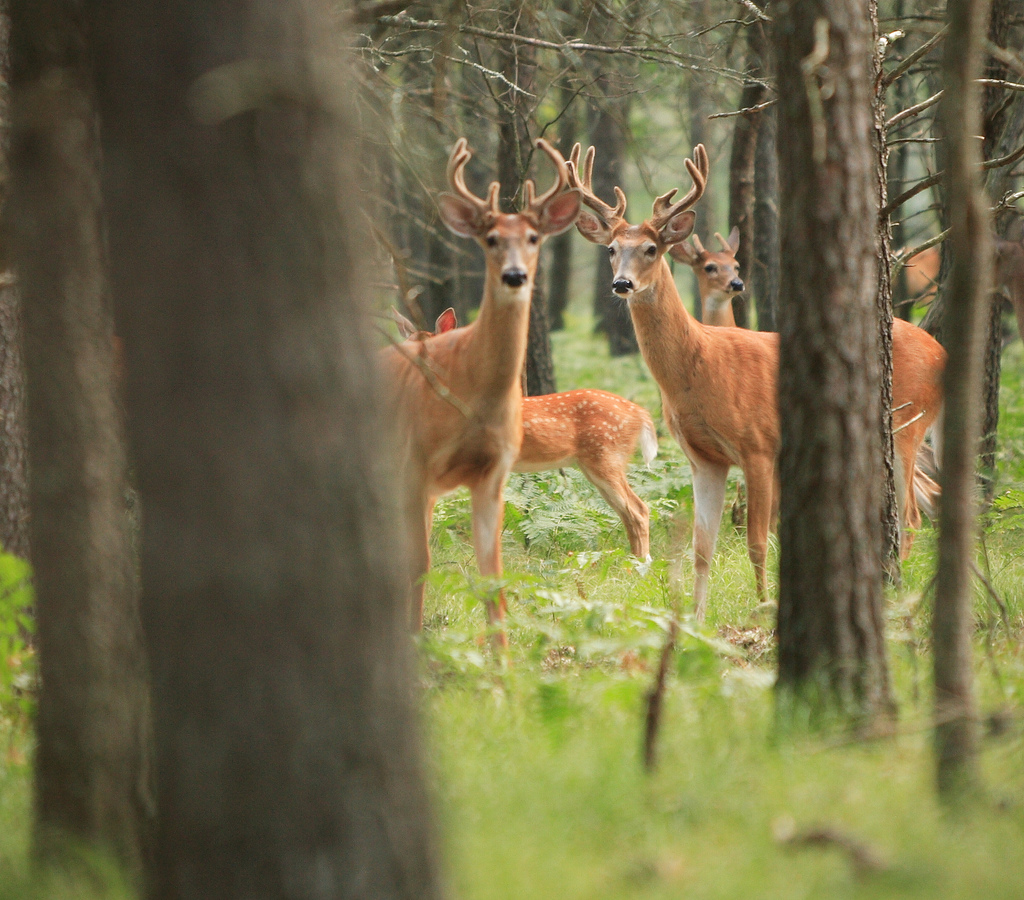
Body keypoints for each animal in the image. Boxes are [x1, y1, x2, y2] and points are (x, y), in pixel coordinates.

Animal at [380, 137, 581, 647]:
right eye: (489, 238)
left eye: (533, 237)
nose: (514, 275)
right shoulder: (414, 461)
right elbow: (420, 562)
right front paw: (415, 644)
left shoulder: (493, 474)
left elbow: (494, 578)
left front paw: (502, 661)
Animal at [387, 307, 659, 561]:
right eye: (405, 345)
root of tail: (640, 413)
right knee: (628, 513)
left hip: (606, 456)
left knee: (639, 510)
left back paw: (642, 565)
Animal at [565, 144, 946, 622]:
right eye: (613, 250)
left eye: (651, 248)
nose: (621, 283)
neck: (699, 367)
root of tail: (941, 351)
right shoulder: (703, 458)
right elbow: (702, 547)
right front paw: (697, 618)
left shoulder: (759, 446)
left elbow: (758, 541)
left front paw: (764, 606)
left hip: (907, 426)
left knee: (912, 514)